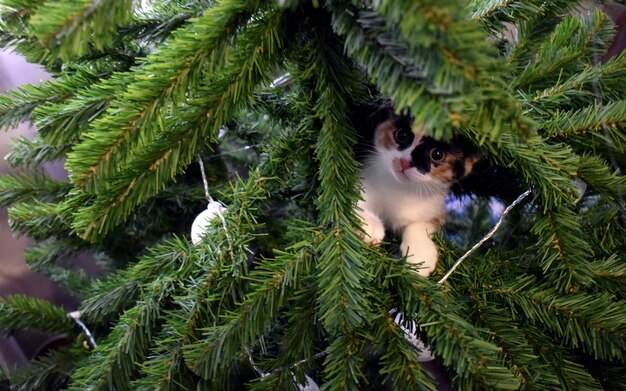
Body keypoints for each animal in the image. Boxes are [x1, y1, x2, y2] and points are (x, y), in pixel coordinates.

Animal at [356, 109, 478, 276]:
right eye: (402, 135)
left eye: (437, 154)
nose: (405, 162)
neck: (400, 188)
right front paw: (369, 225)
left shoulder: (433, 208)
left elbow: (421, 224)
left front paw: (420, 257)